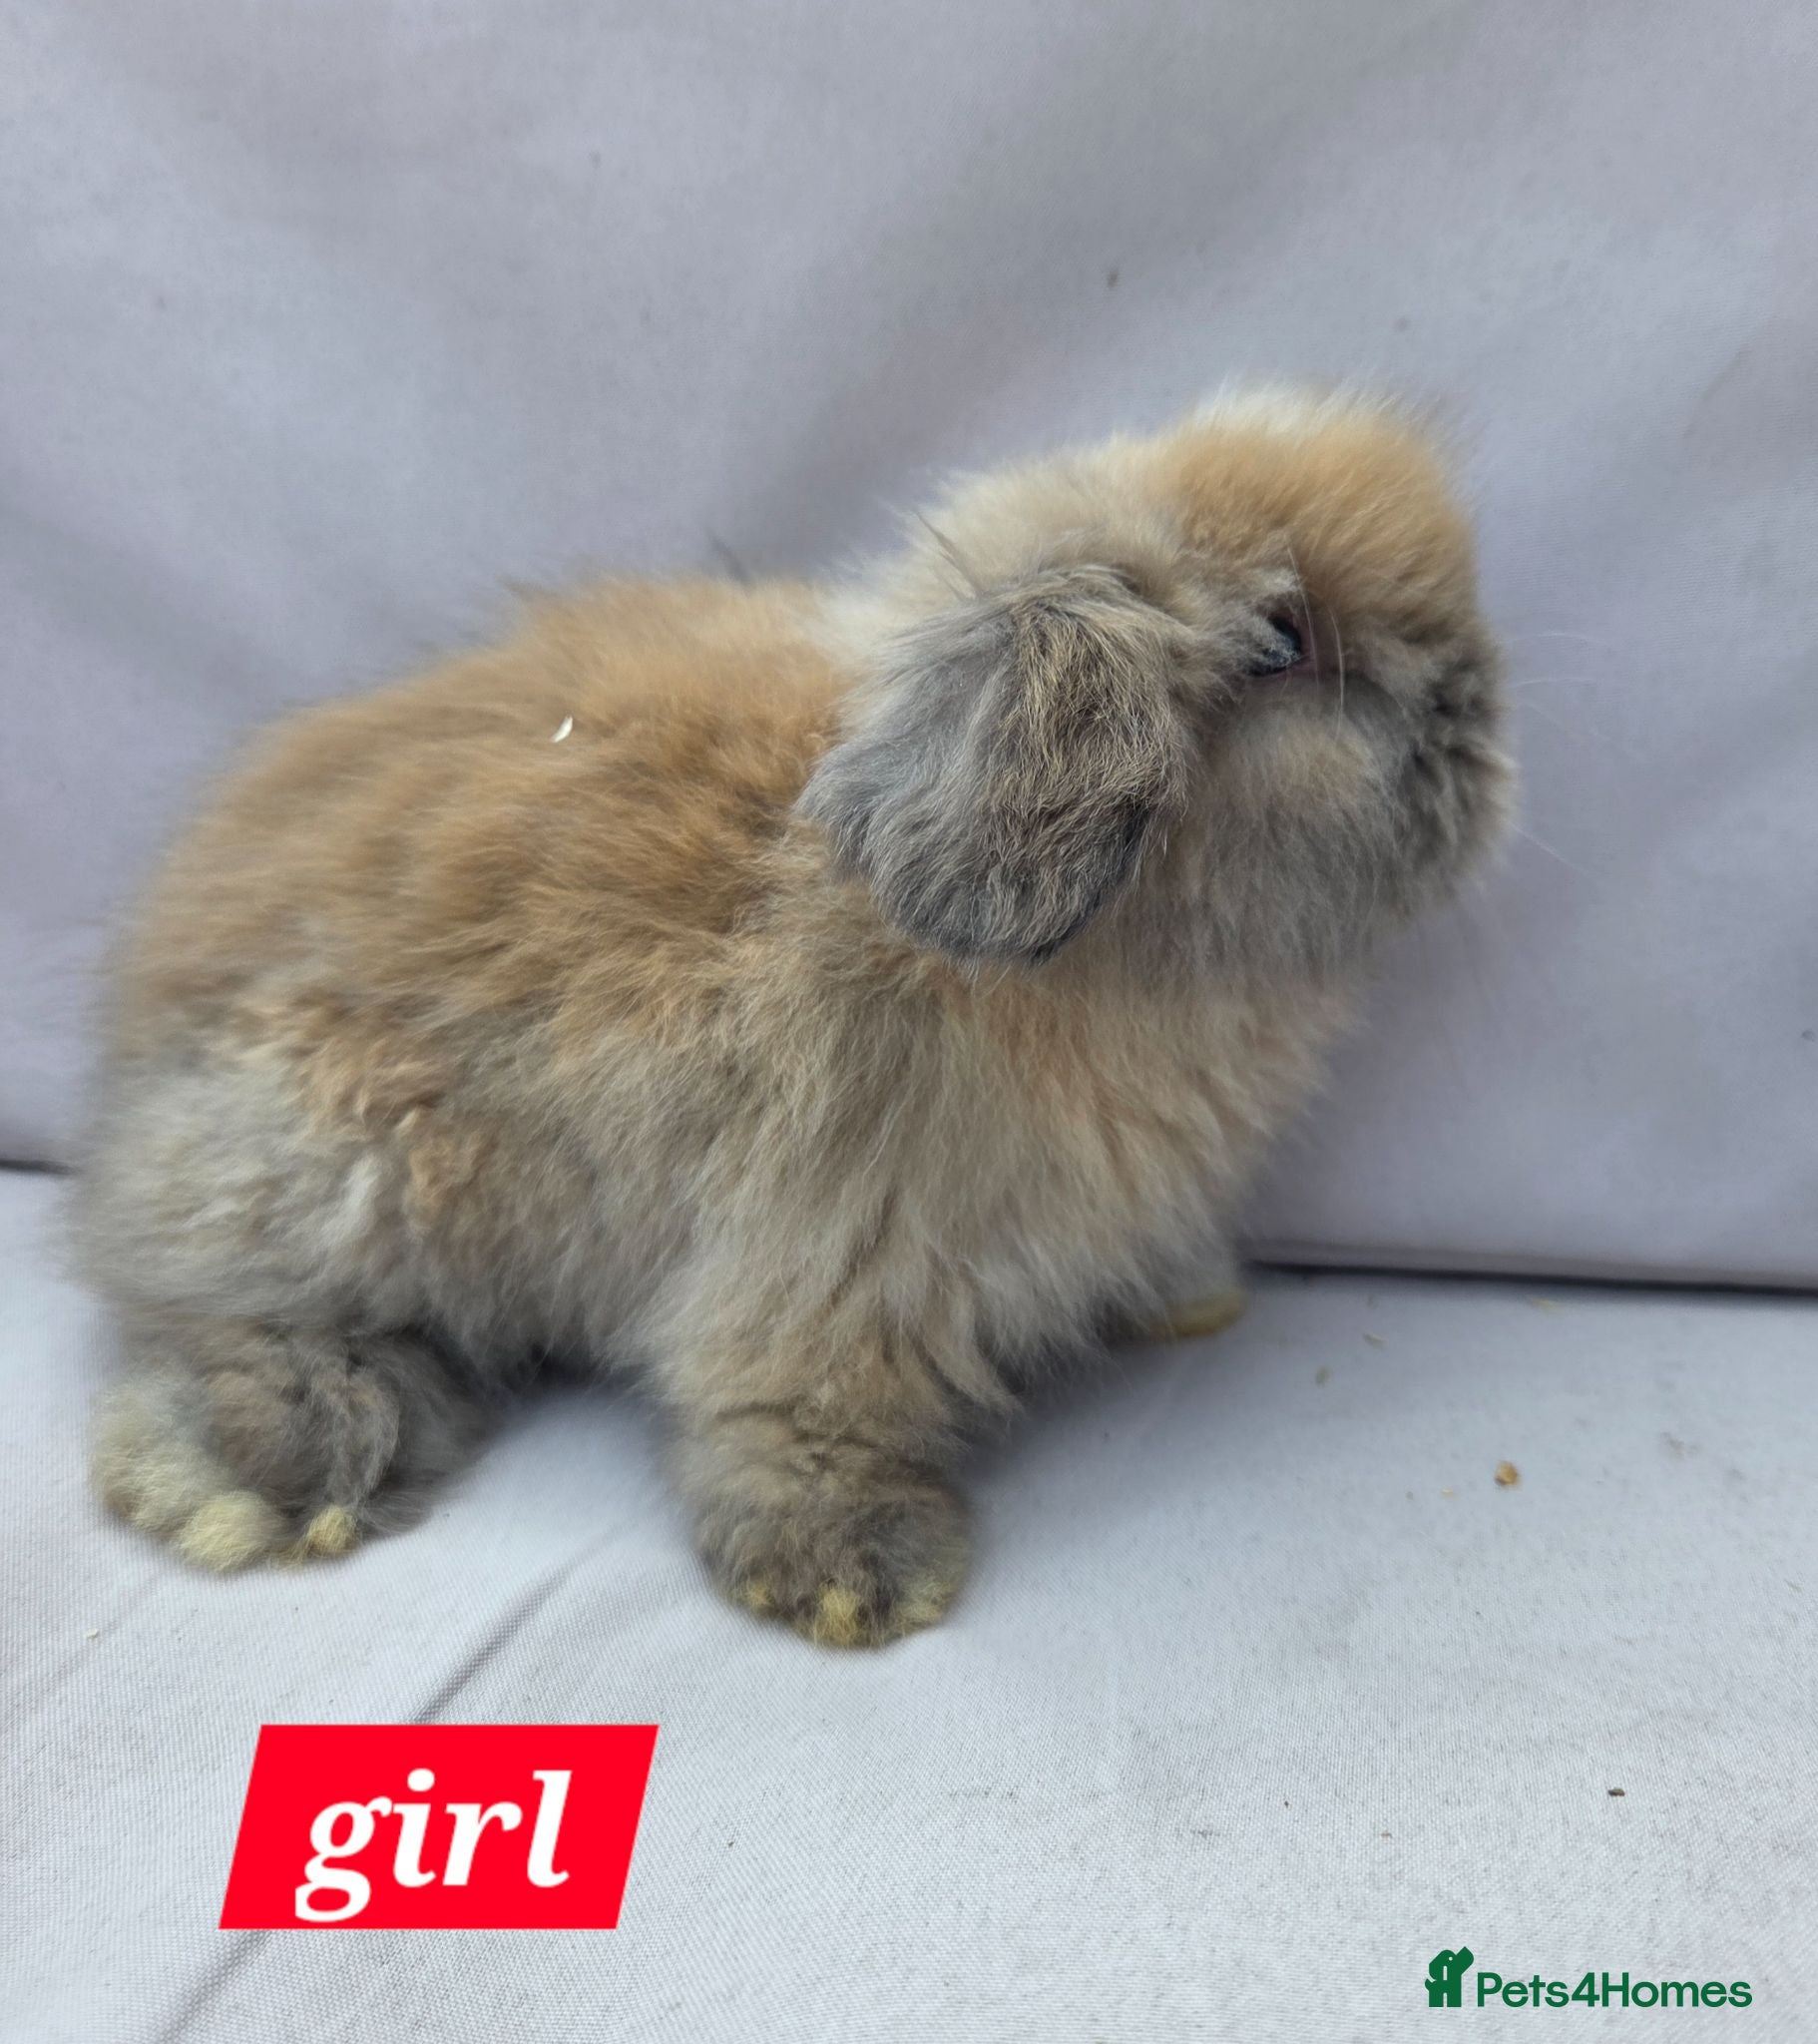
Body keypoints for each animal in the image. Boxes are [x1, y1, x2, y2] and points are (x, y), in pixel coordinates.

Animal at [74, 388, 1512, 1647]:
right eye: (1284, 642)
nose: (1472, 704)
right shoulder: (832, 1244)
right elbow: (804, 1401)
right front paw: (849, 1578)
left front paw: (1184, 1296)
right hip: (337, 1162)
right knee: (203, 1312)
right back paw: (263, 1472)